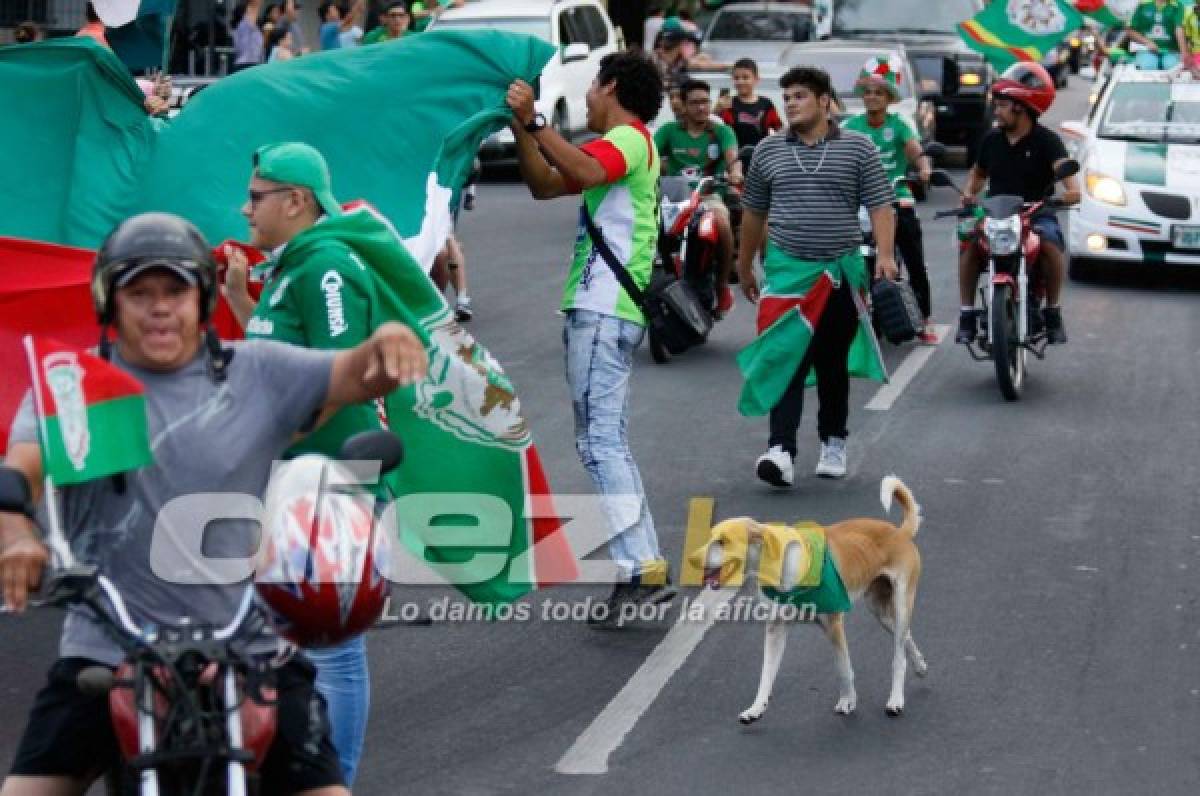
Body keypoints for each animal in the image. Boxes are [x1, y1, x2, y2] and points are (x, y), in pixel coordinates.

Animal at [705, 475, 921, 725]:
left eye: (723, 541)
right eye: (710, 538)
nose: (693, 559)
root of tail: (899, 532)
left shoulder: (834, 625)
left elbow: (844, 668)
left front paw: (847, 701)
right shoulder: (776, 629)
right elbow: (766, 675)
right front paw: (756, 708)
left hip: (901, 604)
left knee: (898, 657)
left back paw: (895, 700)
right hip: (881, 612)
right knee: (906, 637)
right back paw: (920, 665)